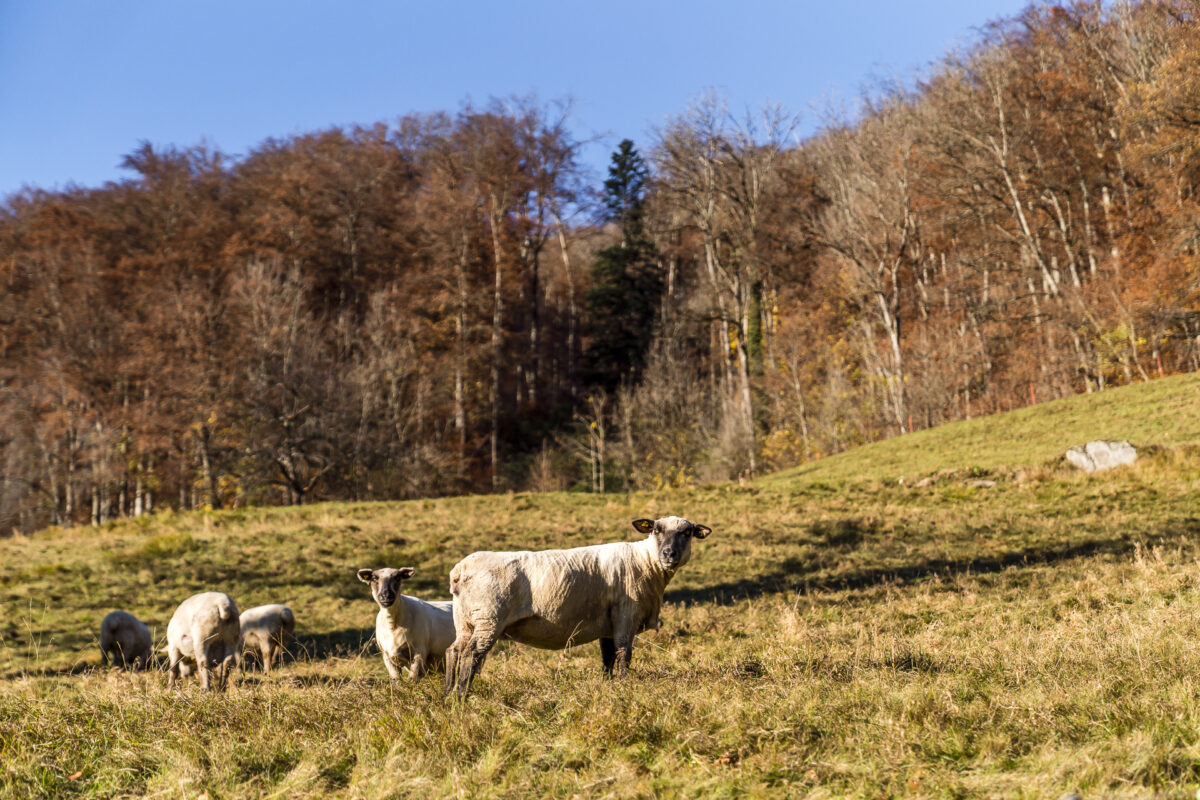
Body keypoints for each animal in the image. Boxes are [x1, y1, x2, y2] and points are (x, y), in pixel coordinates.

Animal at [441, 515, 705, 695]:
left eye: (687, 532)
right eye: (656, 530)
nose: (669, 554)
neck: (645, 561)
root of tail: (460, 570)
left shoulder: (607, 624)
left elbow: (608, 657)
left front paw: (610, 687)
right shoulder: (626, 614)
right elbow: (623, 654)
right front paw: (623, 685)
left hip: (465, 621)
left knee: (453, 651)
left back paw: (447, 696)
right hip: (489, 619)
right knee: (471, 654)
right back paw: (461, 697)